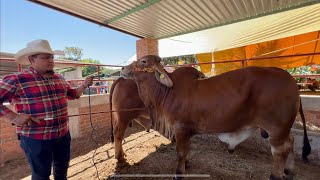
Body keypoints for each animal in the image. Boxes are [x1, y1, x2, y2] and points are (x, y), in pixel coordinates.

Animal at [120, 54, 310, 180]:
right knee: (291, 142)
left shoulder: (180, 128)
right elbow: (187, 150)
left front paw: (179, 173)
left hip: (276, 129)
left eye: (143, 61)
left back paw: (276, 175)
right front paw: (187, 164)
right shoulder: (187, 131)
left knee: (279, 151)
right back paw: (289, 171)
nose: (122, 69)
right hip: (283, 129)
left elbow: (180, 152)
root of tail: (290, 79)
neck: (166, 91)